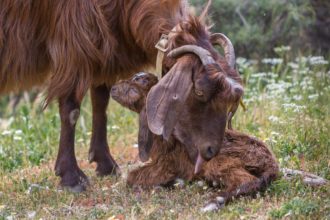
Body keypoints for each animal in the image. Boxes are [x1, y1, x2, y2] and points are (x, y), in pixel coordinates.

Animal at [0, 0, 242, 191]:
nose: (211, 151)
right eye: (199, 91)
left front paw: (105, 164)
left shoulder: (102, 44)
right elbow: (71, 109)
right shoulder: (72, 44)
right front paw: (71, 178)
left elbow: (101, 103)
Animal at [110, 73, 278, 212]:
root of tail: (272, 165)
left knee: (247, 180)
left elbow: (132, 177)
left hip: (220, 160)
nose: (112, 88)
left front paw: (172, 182)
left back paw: (213, 201)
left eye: (135, 86)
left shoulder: (168, 162)